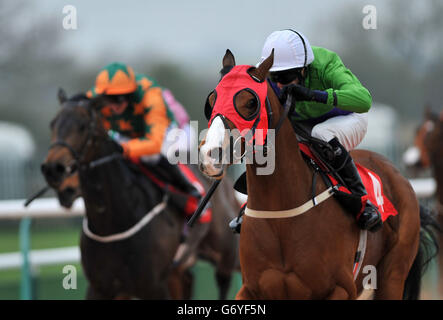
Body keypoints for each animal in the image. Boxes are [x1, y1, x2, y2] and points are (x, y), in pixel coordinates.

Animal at [42, 93, 241, 300]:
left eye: (83, 126)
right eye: (53, 124)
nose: (52, 169)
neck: (112, 224)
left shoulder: (154, 286)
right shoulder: (101, 288)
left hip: (227, 252)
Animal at [199, 48, 440, 298]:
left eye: (250, 102)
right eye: (211, 101)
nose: (211, 155)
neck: (280, 214)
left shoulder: (340, 289)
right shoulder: (251, 289)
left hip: (392, 274)